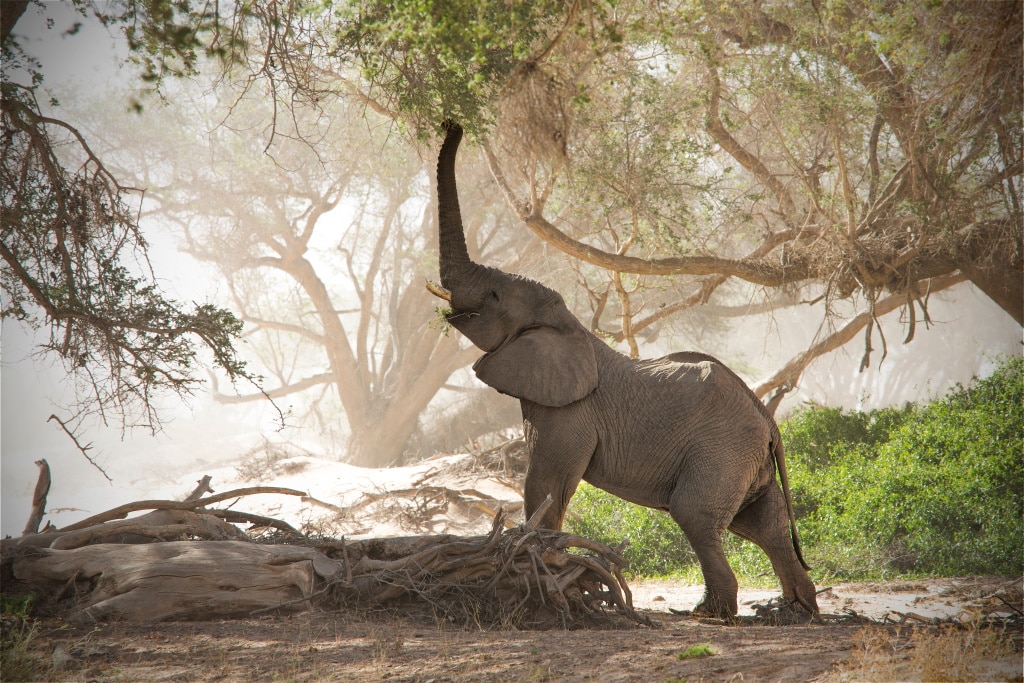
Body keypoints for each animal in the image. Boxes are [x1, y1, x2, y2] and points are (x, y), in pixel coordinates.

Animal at [428, 121, 819, 618]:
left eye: (495, 296)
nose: (454, 124)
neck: (570, 326)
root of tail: (769, 419)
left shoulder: (570, 413)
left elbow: (547, 484)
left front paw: (544, 566)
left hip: (723, 450)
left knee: (696, 514)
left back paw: (710, 614)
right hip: (746, 457)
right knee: (761, 524)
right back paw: (795, 612)